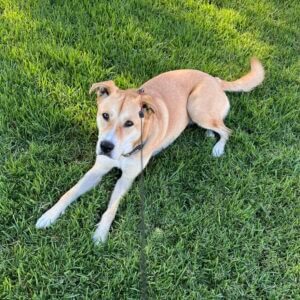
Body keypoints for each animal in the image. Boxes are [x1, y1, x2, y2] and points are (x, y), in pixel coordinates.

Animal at [35, 57, 264, 243]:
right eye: (105, 115)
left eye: (129, 123)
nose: (106, 146)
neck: (126, 150)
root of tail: (215, 79)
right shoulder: (97, 169)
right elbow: (70, 192)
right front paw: (49, 216)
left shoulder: (126, 178)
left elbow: (112, 208)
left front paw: (100, 234)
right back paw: (208, 135)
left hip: (196, 107)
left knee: (227, 130)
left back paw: (217, 147)